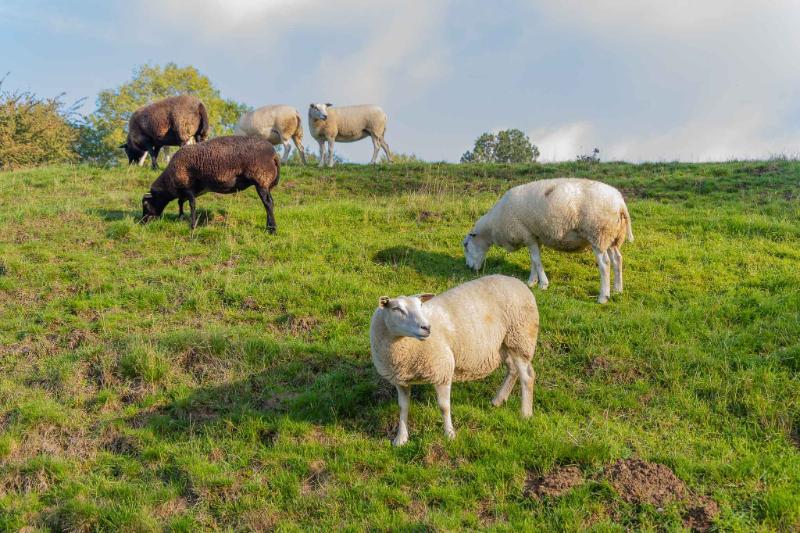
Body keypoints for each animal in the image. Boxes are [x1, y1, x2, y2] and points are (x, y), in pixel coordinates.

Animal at [142, 135, 280, 231]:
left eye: (145, 204)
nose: (142, 221)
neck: (168, 181)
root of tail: (274, 154)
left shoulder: (187, 187)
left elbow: (191, 205)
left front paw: (192, 226)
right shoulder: (195, 190)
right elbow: (181, 202)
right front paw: (181, 217)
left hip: (261, 179)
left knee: (267, 203)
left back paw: (271, 229)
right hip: (266, 183)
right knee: (271, 202)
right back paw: (269, 226)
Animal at [368, 274, 536, 444]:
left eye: (421, 306)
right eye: (396, 309)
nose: (427, 328)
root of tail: (516, 281)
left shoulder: (442, 370)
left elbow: (444, 406)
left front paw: (449, 434)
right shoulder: (400, 379)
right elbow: (403, 407)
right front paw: (401, 438)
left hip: (521, 337)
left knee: (527, 376)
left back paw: (525, 414)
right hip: (503, 345)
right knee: (513, 370)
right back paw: (499, 400)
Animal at [462, 178, 632, 304]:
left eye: (466, 245)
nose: (468, 268)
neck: (493, 226)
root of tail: (620, 203)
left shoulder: (527, 235)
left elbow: (536, 261)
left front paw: (543, 284)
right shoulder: (533, 236)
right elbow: (533, 260)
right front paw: (532, 281)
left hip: (598, 233)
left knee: (605, 263)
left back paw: (603, 296)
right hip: (611, 236)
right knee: (617, 259)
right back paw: (618, 289)